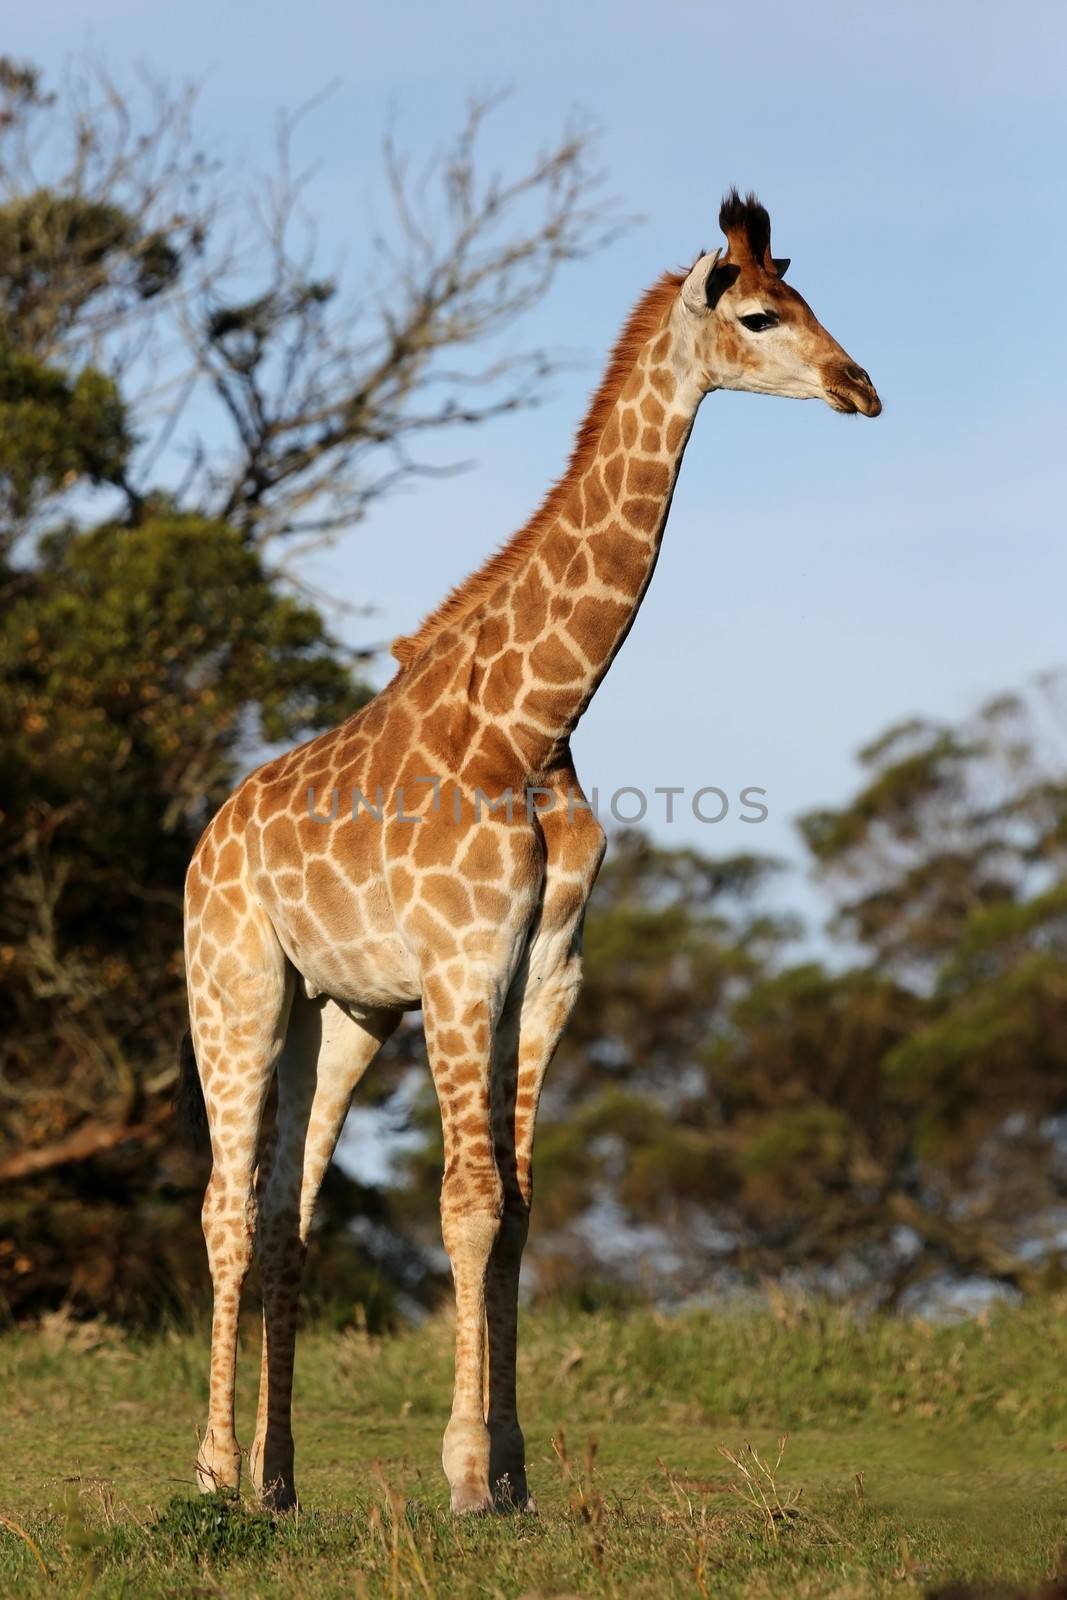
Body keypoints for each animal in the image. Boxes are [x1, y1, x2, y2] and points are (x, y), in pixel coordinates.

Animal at [183, 187, 883, 1510]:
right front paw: (464, 1473)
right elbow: (464, 1202)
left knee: (288, 1214)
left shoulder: (542, 973)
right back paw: (207, 1475)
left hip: (336, 1012)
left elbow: (512, 1208)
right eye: (761, 316)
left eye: (809, 300)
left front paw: (508, 1468)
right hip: (232, 983)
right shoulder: (462, 963)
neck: (532, 721)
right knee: (224, 1208)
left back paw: (277, 1482)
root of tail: (206, 840)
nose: (859, 385)